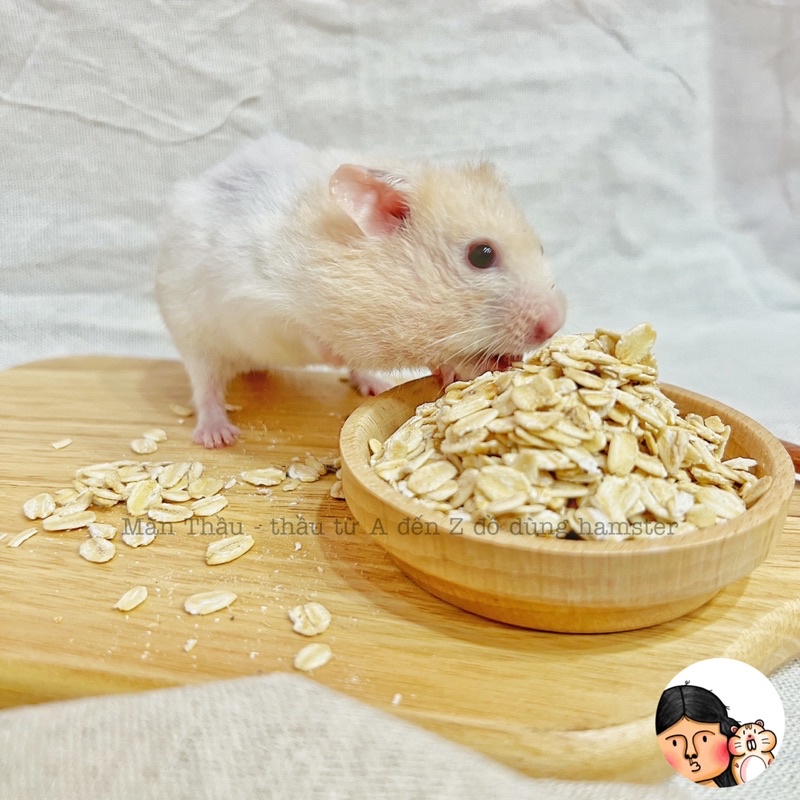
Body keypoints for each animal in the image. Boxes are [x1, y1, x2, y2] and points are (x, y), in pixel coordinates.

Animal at [155, 133, 566, 447]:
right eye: (481, 255)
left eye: (541, 247)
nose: (555, 324)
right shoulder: (260, 306)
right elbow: (309, 336)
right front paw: (335, 355)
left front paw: (452, 371)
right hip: (196, 338)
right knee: (206, 386)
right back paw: (217, 436)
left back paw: (375, 383)